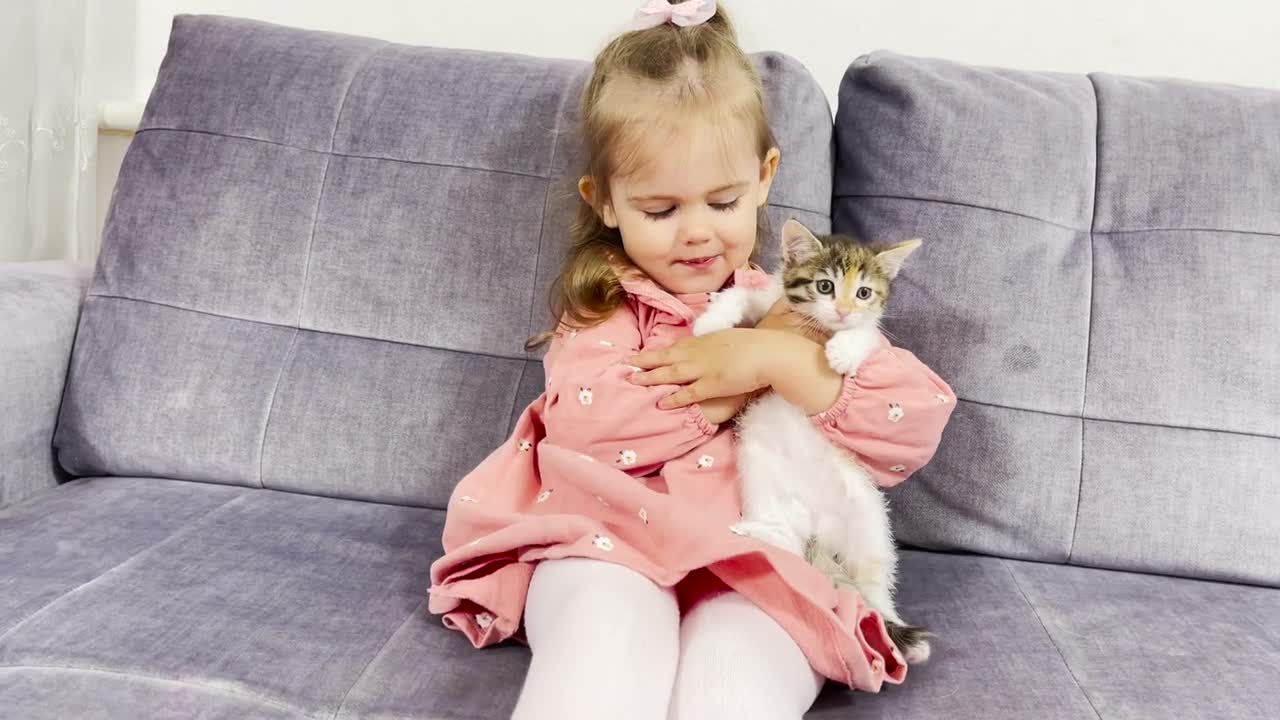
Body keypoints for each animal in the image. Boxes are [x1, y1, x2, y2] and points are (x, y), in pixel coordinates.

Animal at [701, 217, 931, 661]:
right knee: (789, 545)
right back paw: (762, 535)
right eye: (825, 286)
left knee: (872, 582)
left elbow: (869, 336)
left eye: (863, 293)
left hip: (868, 514)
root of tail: (817, 529)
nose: (842, 311)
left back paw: (894, 630)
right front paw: (711, 320)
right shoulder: (770, 302)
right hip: (759, 469)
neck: (818, 327)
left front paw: (846, 349)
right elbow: (743, 294)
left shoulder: (876, 334)